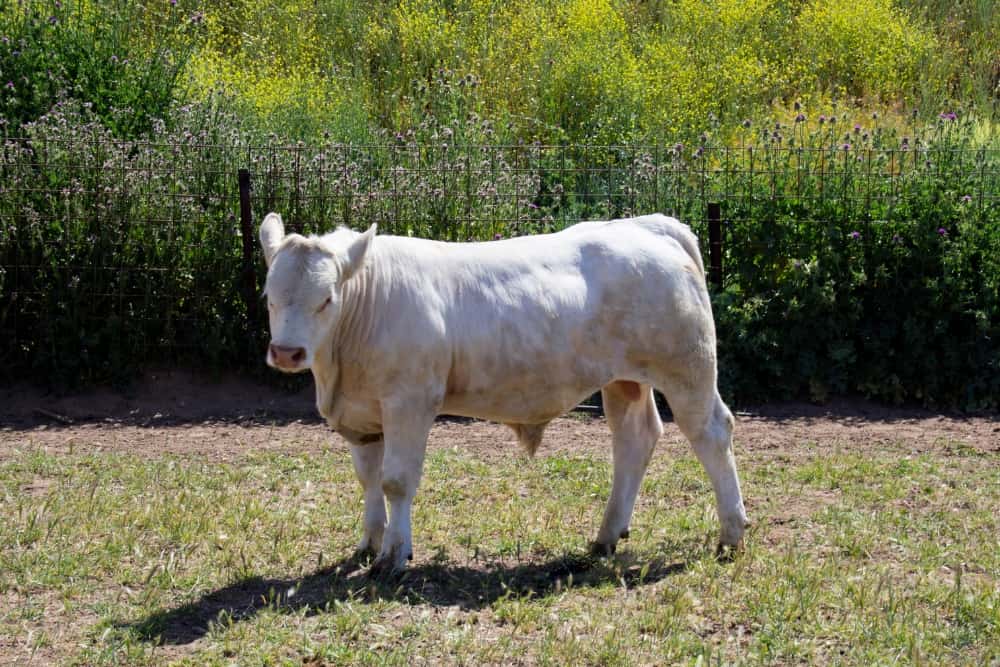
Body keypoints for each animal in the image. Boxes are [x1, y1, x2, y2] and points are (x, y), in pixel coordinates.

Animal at [259, 212, 748, 575]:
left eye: (326, 298)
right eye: (268, 296)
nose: (286, 352)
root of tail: (651, 225)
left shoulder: (409, 403)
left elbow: (396, 480)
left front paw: (394, 555)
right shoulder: (362, 414)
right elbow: (368, 479)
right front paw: (368, 543)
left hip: (687, 369)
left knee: (711, 433)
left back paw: (731, 534)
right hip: (623, 380)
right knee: (635, 440)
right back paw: (606, 536)